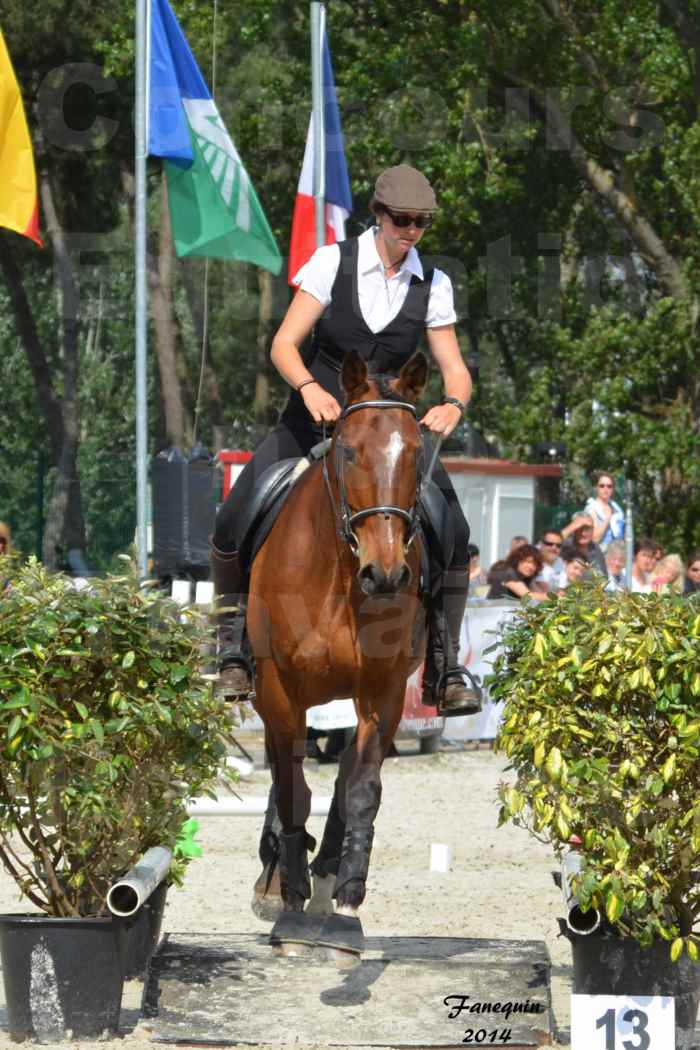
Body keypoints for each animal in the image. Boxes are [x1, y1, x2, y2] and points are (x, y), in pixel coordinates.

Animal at [248, 350, 430, 953]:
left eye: (416, 451)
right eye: (349, 451)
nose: (386, 574)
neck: (339, 575)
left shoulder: (383, 691)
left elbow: (362, 790)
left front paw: (347, 900)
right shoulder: (279, 690)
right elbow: (290, 788)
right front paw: (288, 900)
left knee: (344, 776)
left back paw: (326, 877)